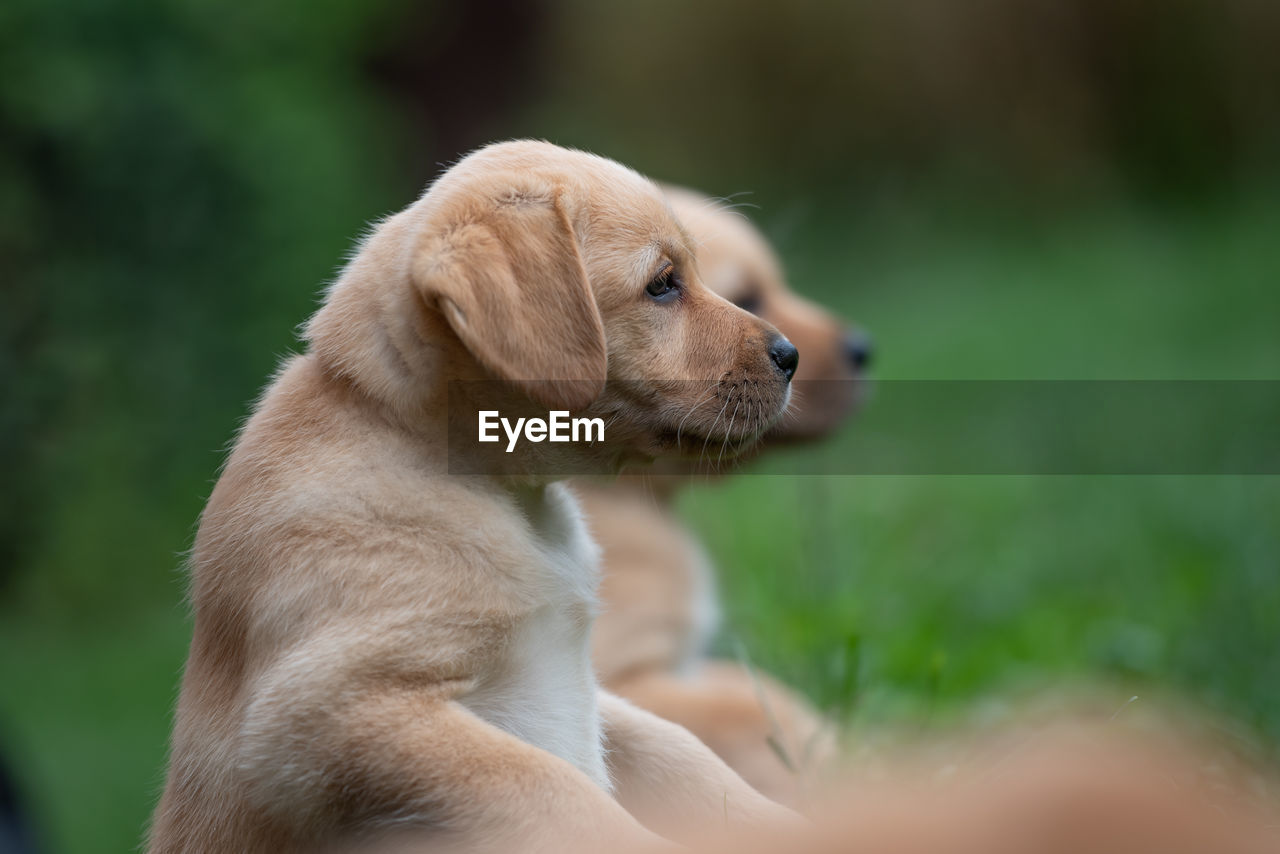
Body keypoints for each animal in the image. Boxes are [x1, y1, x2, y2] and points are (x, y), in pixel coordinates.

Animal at [147, 142, 798, 854]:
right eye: (661, 284)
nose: (791, 356)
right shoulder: (324, 714)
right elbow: (555, 792)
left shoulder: (599, 694)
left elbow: (682, 754)